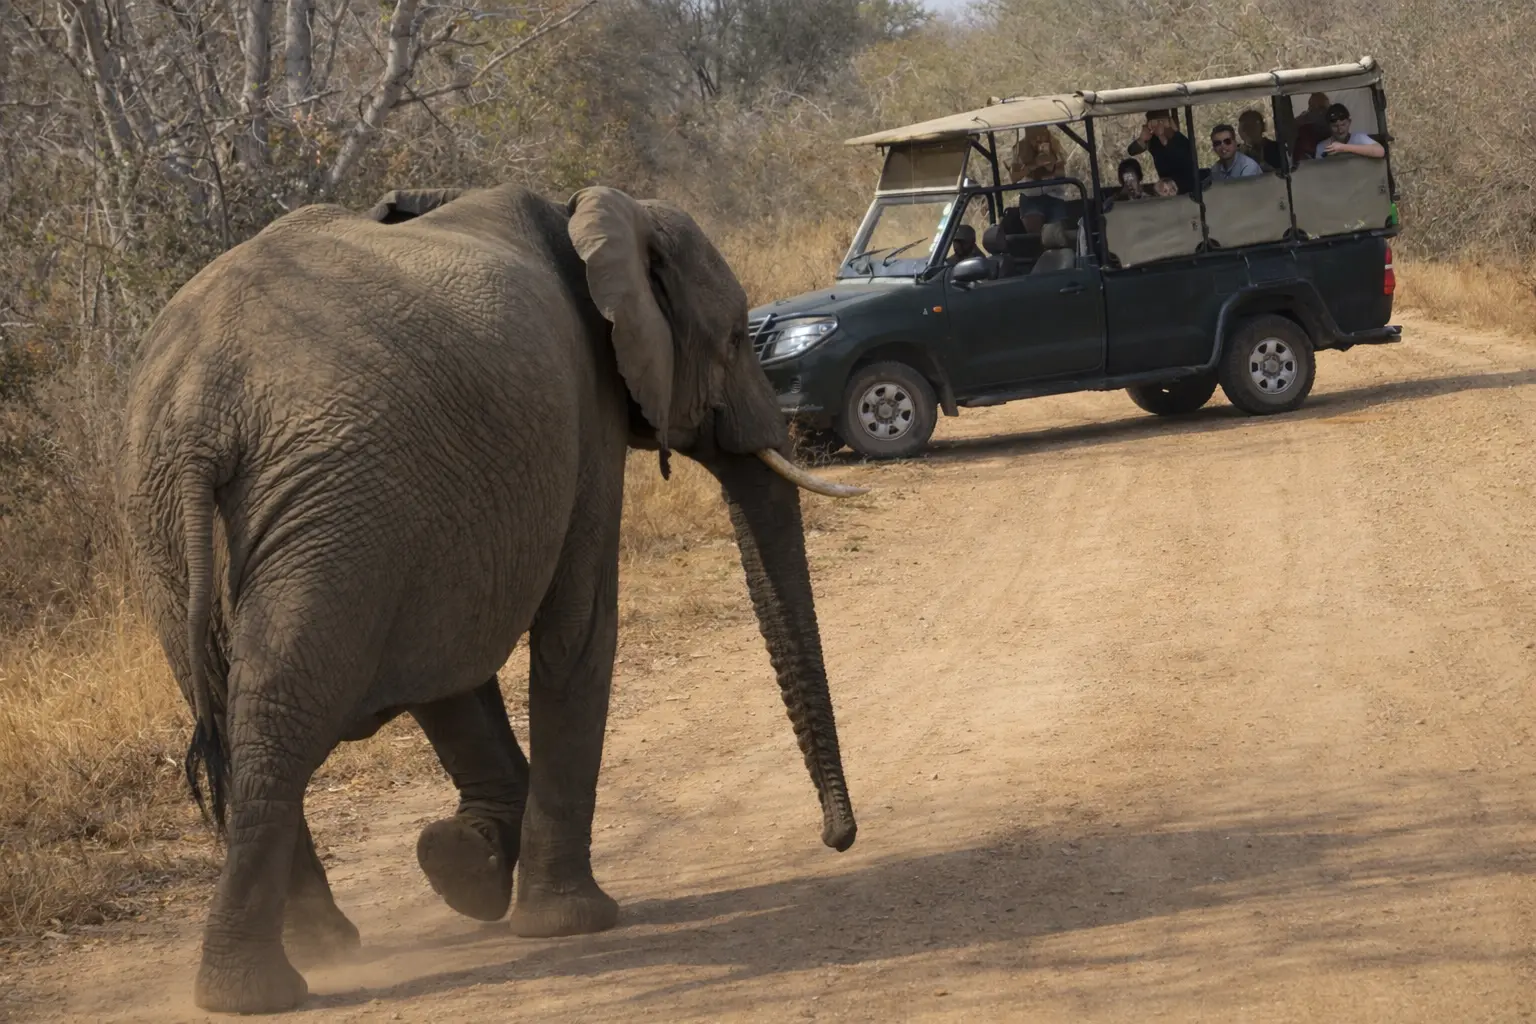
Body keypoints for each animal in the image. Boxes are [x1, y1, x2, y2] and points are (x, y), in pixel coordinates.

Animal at [117, 182, 866, 1014]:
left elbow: (452, 675)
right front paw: (568, 921)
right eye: (735, 337)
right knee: (279, 717)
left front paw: (465, 865)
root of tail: (198, 409)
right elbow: (578, 628)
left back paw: (315, 954)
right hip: (323, 513)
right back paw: (260, 989)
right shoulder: (583, 416)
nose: (836, 840)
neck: (596, 218)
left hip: (177, 521)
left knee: (238, 714)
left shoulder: (438, 521)